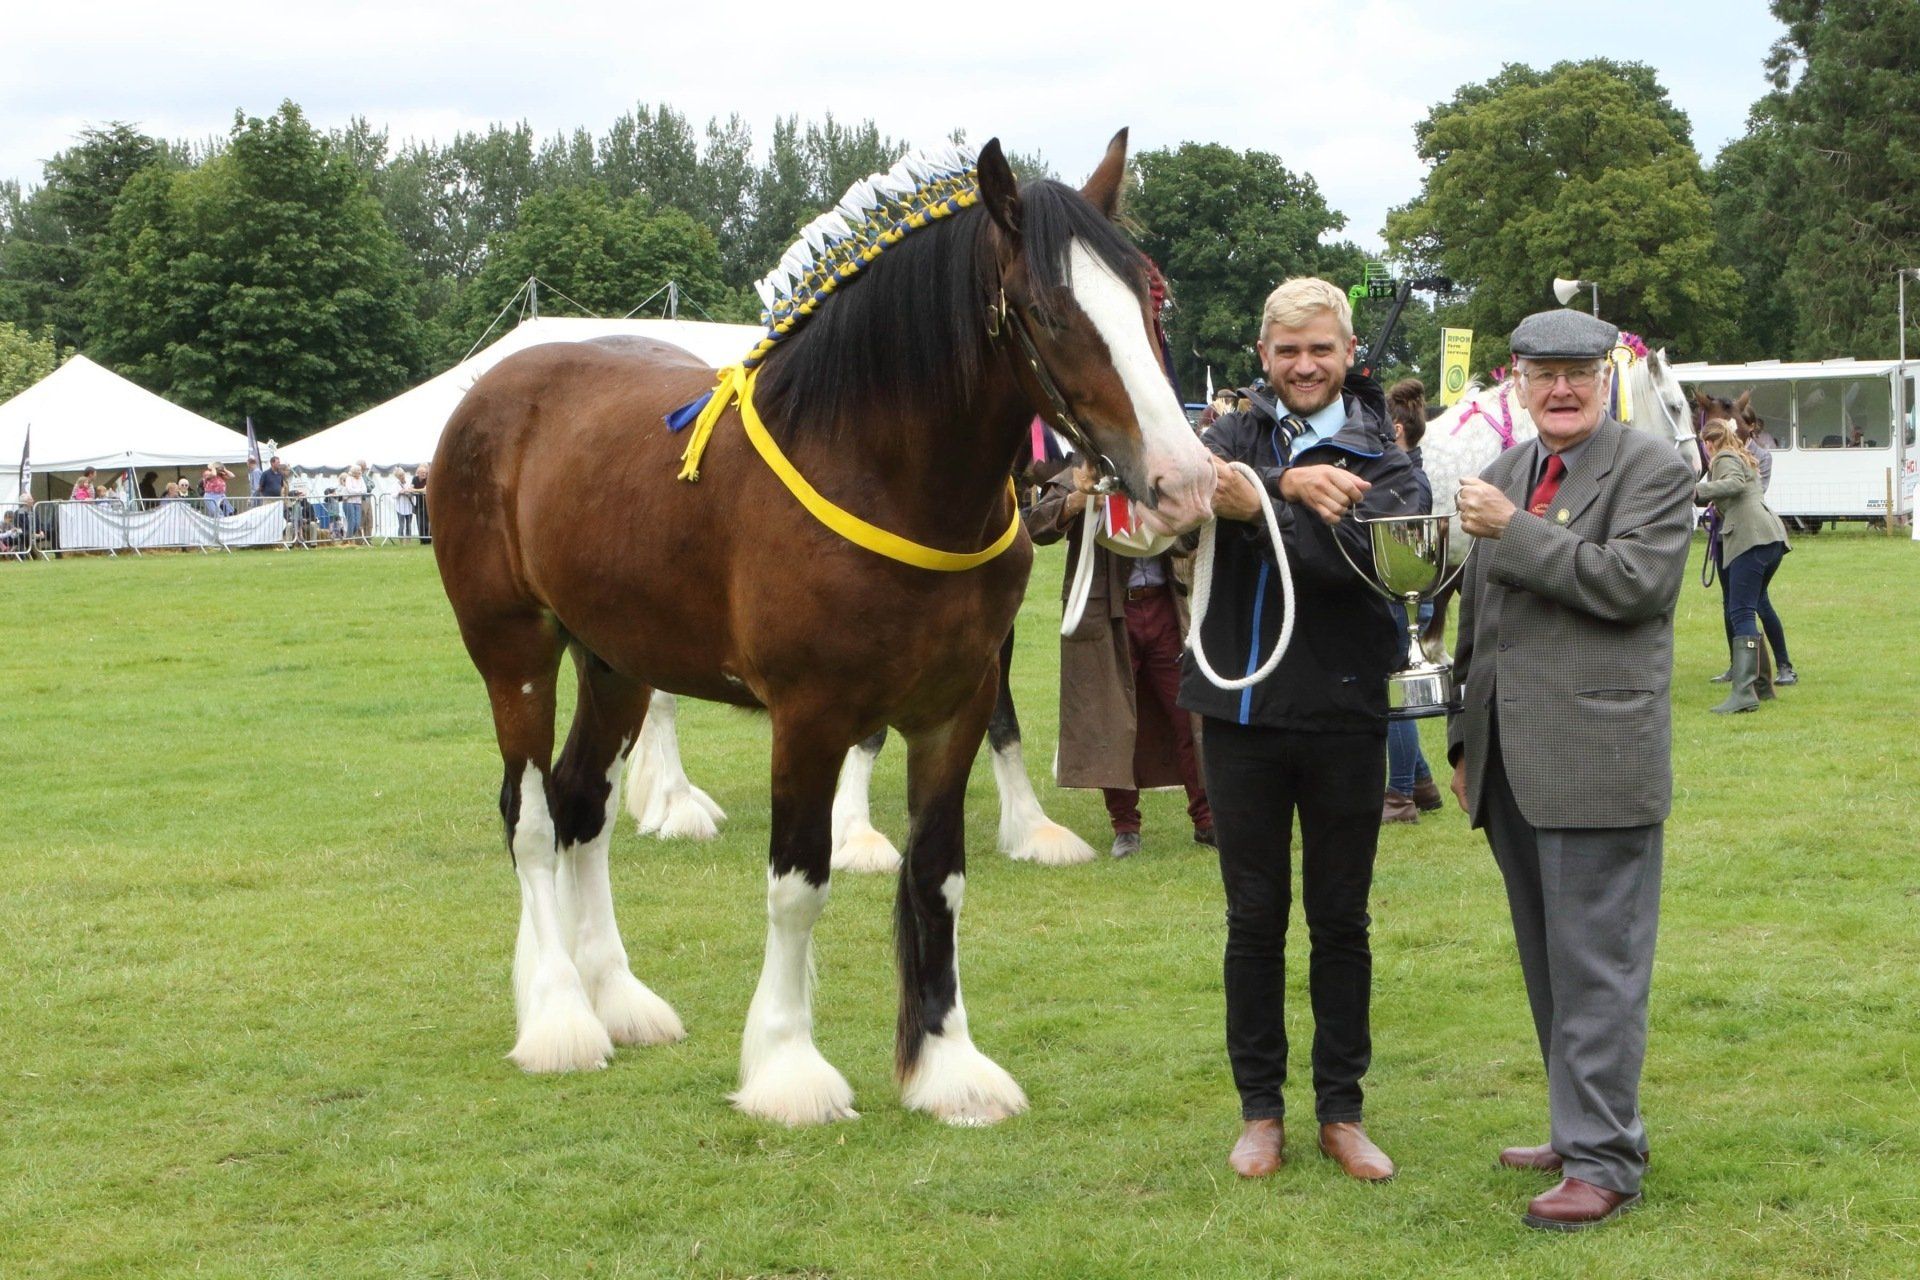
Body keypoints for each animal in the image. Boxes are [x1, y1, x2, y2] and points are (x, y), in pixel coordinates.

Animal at [427, 131, 1217, 1127]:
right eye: (1046, 310)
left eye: (1151, 299)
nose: (1185, 482)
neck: (874, 468)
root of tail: (491, 391)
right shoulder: (809, 715)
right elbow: (798, 885)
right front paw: (787, 1067)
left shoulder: (954, 708)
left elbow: (938, 875)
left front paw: (947, 1063)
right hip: (516, 651)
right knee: (531, 818)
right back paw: (561, 1016)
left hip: (615, 662)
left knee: (582, 806)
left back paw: (618, 999)